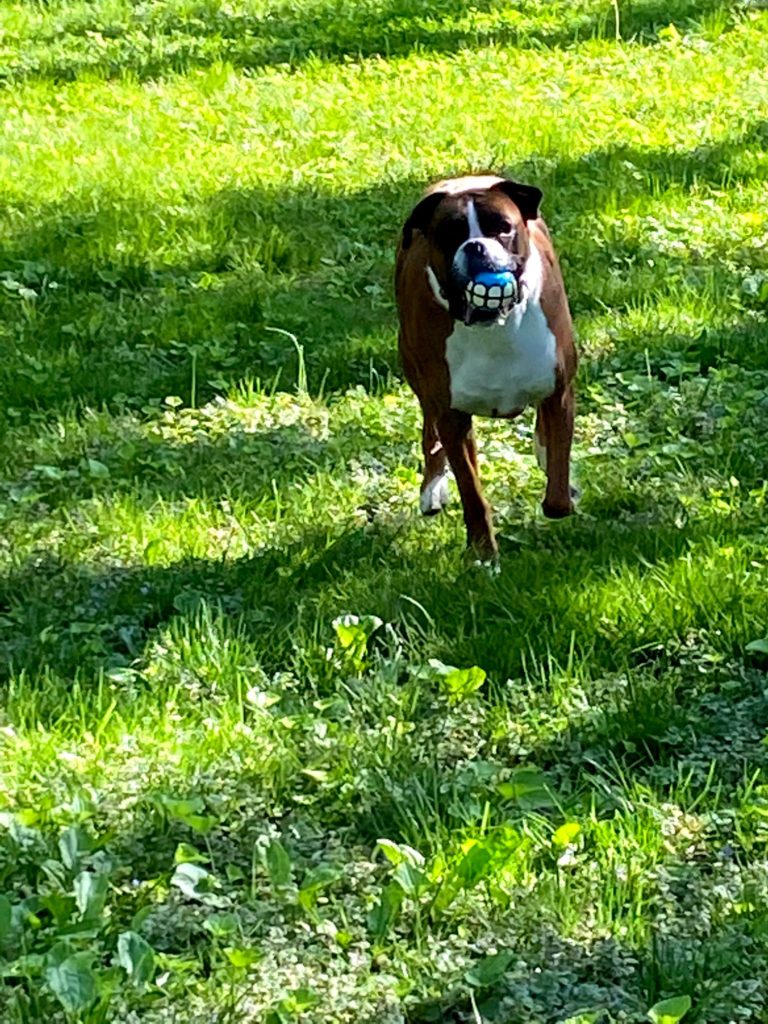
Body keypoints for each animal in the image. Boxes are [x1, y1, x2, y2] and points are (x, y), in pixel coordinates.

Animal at [397, 176, 577, 561]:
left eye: (502, 228)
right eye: (450, 233)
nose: (476, 246)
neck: (494, 325)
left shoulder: (559, 392)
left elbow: (557, 490)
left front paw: (560, 484)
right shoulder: (451, 417)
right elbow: (472, 492)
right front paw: (483, 551)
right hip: (417, 376)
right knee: (431, 432)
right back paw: (432, 486)